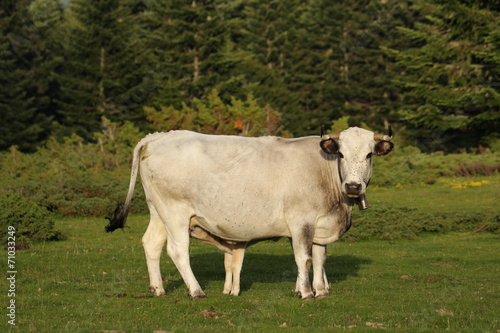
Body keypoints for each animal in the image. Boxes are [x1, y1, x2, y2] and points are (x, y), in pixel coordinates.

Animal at [106, 126, 394, 298]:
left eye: (369, 155)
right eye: (341, 154)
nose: (354, 186)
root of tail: (159, 136)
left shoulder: (320, 224)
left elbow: (320, 258)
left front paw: (320, 290)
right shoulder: (301, 221)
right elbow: (304, 258)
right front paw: (305, 293)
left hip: (158, 212)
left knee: (151, 244)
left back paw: (158, 289)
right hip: (175, 212)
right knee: (177, 251)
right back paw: (196, 291)